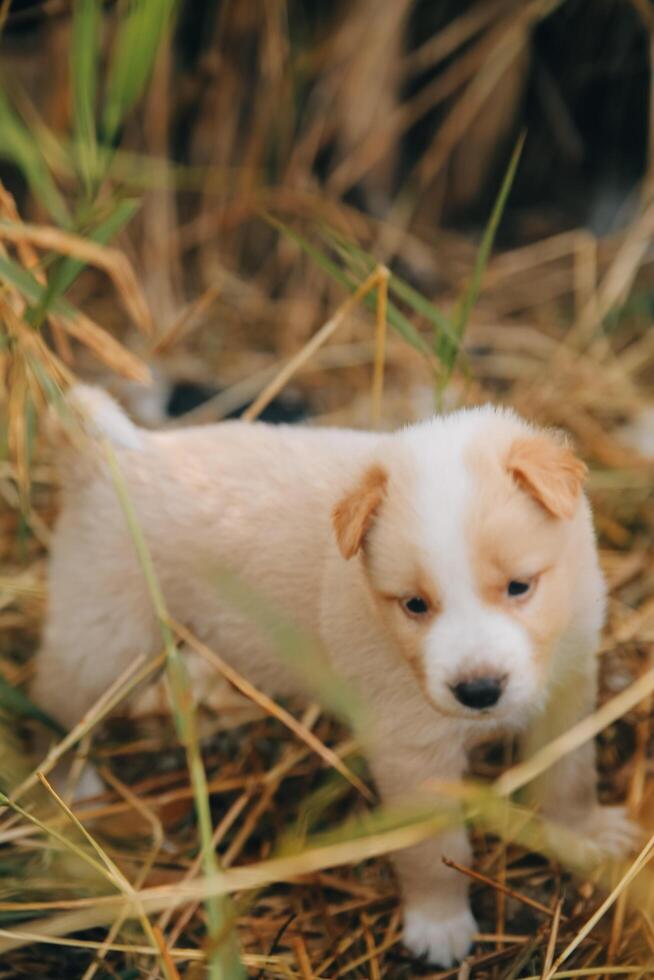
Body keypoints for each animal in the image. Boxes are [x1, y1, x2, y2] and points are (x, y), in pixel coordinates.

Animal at [33, 382, 640, 964]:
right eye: (414, 605)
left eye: (520, 586)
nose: (479, 691)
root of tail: (100, 458)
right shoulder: (410, 751)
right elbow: (433, 849)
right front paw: (438, 924)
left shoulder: (567, 687)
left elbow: (570, 775)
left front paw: (585, 834)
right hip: (105, 646)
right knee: (57, 707)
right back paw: (70, 791)